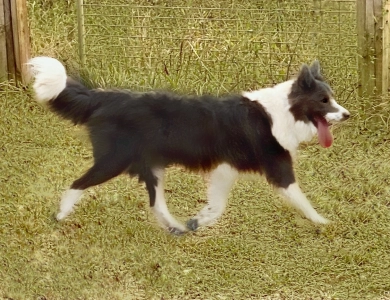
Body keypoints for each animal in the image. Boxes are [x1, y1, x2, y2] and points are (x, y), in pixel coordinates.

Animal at [28, 56, 350, 234]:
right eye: (324, 101)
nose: (347, 114)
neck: (284, 110)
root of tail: (103, 96)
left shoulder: (225, 169)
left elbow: (217, 205)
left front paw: (199, 220)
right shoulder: (276, 168)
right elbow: (302, 200)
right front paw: (324, 222)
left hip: (150, 166)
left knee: (156, 202)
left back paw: (176, 227)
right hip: (113, 161)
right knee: (77, 183)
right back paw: (61, 214)